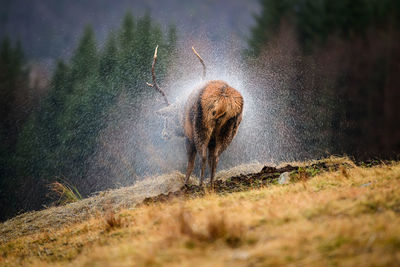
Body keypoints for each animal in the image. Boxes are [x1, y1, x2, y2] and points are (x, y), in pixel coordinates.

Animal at [145, 45, 242, 188]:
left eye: (168, 118)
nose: (164, 134)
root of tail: (223, 102)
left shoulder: (189, 137)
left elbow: (190, 163)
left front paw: (185, 184)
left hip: (200, 127)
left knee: (202, 157)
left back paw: (201, 184)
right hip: (229, 129)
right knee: (215, 157)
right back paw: (211, 183)